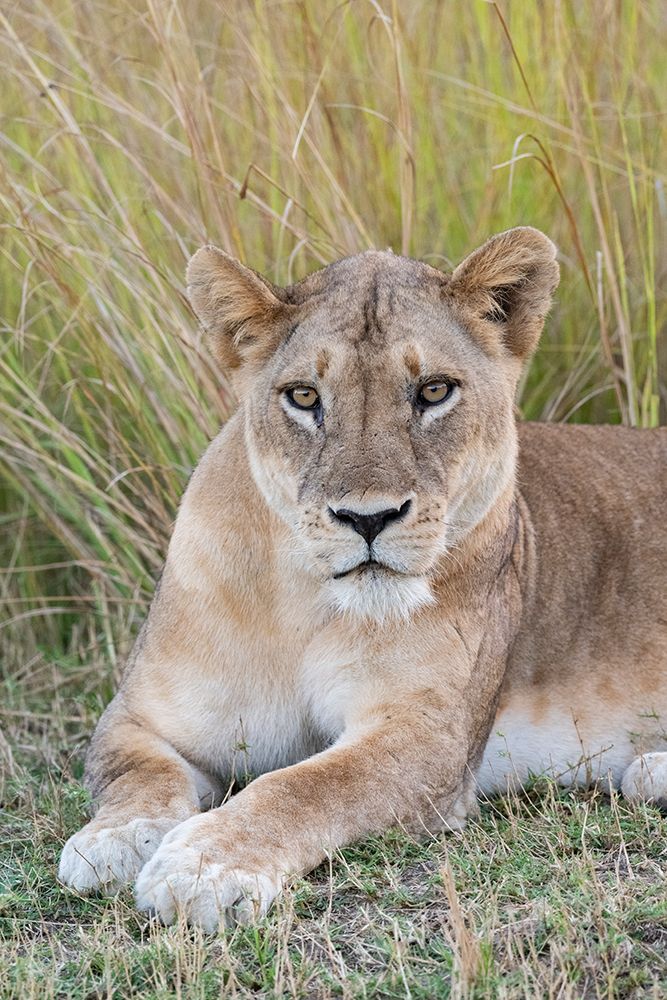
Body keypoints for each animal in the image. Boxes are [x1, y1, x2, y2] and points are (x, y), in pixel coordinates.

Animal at [58, 227, 667, 931]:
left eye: (434, 391)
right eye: (303, 397)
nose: (368, 518)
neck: (304, 603)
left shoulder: (429, 737)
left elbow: (305, 786)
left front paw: (204, 867)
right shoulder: (141, 716)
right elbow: (137, 775)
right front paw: (112, 840)